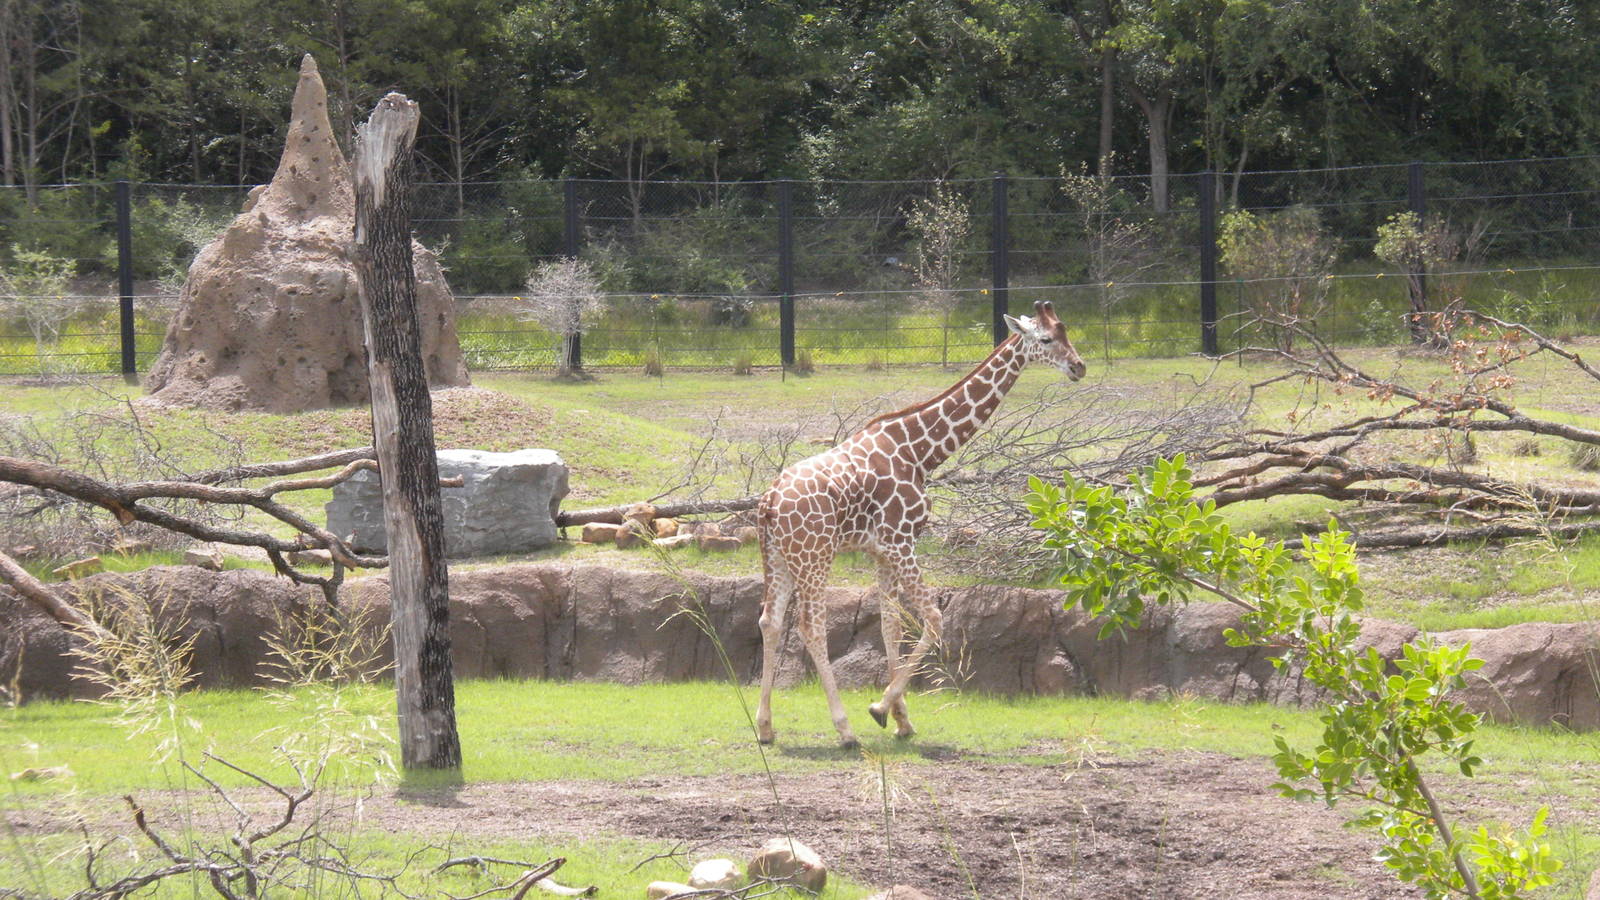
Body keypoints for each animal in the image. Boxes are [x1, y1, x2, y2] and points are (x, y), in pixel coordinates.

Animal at [755, 300, 1087, 748]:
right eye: (1047, 339)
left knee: (770, 621)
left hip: (778, 557)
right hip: (815, 557)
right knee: (810, 625)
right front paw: (879, 709)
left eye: (1067, 332)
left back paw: (765, 727)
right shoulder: (902, 541)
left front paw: (901, 718)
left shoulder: (881, 549)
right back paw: (844, 729)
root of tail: (770, 502)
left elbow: (891, 625)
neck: (920, 452)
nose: (1079, 367)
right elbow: (932, 617)